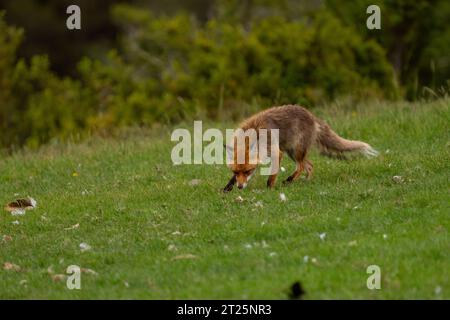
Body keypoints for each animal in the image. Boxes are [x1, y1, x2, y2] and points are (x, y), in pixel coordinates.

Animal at [223, 105, 378, 191]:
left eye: (248, 171)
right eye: (236, 172)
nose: (240, 187)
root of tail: (312, 116)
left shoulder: (277, 153)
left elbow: (272, 176)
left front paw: (269, 189)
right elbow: (231, 179)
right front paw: (227, 188)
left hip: (295, 151)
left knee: (302, 166)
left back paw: (290, 180)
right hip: (292, 152)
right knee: (309, 166)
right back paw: (305, 182)